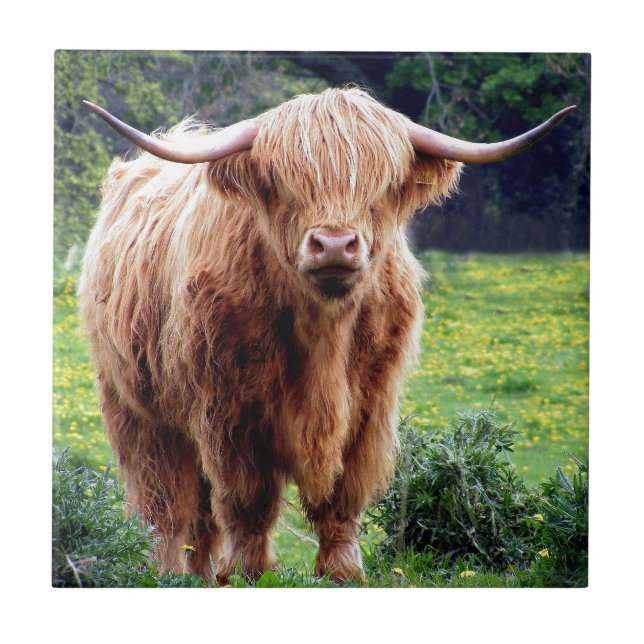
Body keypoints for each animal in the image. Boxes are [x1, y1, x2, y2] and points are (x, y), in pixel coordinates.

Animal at [79, 87, 574, 584]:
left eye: (380, 187)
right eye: (284, 182)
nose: (335, 244)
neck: (323, 335)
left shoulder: (368, 408)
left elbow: (343, 496)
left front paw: (343, 571)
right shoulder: (229, 411)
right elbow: (247, 499)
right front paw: (246, 573)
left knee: (198, 513)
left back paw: (197, 574)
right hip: (138, 410)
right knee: (162, 500)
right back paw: (165, 570)